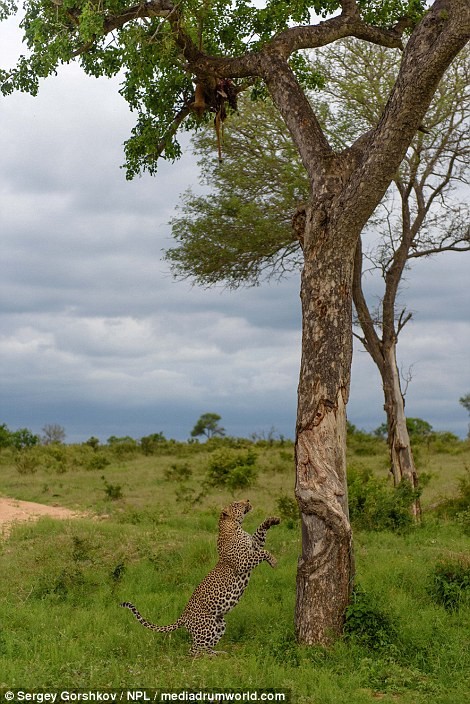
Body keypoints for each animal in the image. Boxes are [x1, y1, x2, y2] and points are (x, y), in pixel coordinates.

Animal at [120, 500, 280, 656]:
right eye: (236, 504)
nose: (247, 500)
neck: (234, 526)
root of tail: (184, 616)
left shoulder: (254, 546)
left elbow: (259, 534)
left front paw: (271, 520)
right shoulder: (243, 561)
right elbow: (264, 552)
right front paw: (273, 561)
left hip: (220, 623)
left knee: (203, 646)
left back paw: (217, 653)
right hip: (208, 625)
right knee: (193, 650)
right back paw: (210, 657)